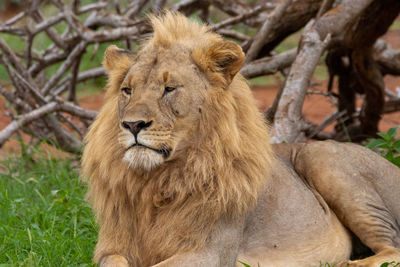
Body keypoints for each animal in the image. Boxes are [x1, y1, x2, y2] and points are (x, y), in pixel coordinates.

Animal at [80, 12, 400, 267]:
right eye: (127, 90)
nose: (132, 124)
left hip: (323, 159)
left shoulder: (210, 252)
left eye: (169, 88)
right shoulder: (113, 248)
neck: (156, 183)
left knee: (392, 247)